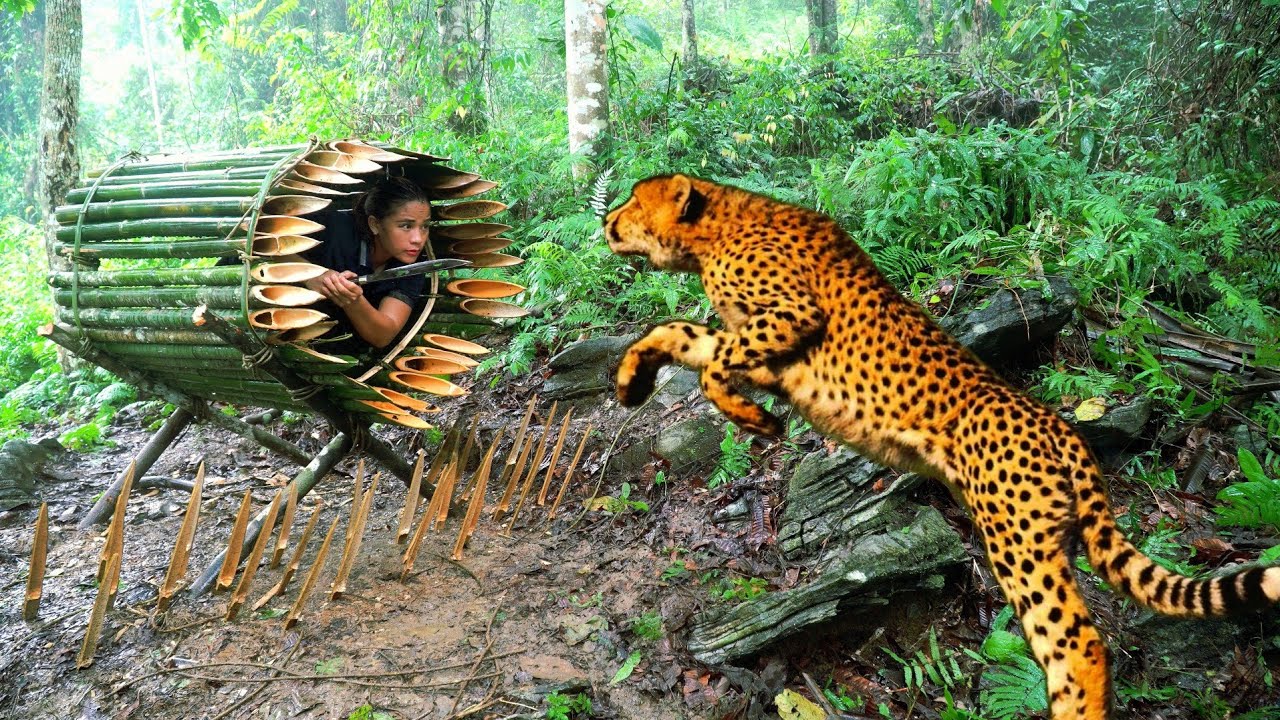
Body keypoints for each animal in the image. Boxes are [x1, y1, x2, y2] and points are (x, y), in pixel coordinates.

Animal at [603, 173, 1280, 720]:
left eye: (635, 200)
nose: (606, 222)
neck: (718, 227)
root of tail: (1061, 426)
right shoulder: (766, 349)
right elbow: (679, 332)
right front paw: (631, 379)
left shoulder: (794, 317)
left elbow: (716, 362)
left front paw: (757, 421)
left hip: (1019, 544)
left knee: (1077, 643)